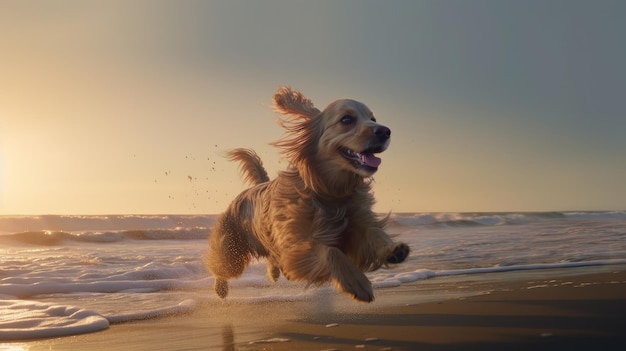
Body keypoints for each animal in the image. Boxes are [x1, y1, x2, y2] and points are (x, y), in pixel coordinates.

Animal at [206, 86, 410, 302]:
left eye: (373, 118)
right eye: (346, 119)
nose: (385, 131)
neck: (330, 190)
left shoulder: (355, 226)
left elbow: (374, 233)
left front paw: (392, 249)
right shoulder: (297, 247)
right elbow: (330, 252)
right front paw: (356, 282)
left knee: (271, 257)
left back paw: (273, 272)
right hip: (233, 248)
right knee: (222, 268)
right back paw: (220, 288)